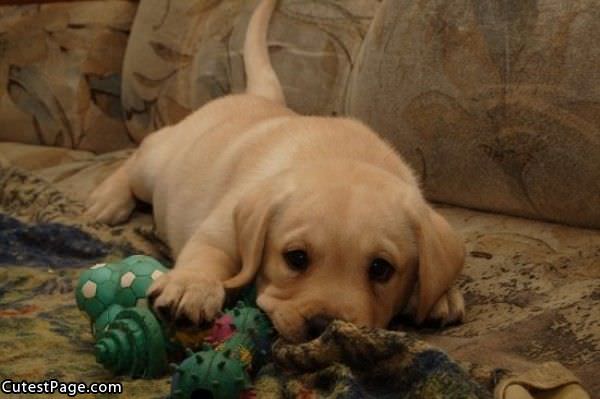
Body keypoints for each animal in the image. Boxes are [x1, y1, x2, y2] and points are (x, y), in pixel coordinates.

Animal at [85, 0, 464, 344]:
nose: (323, 326)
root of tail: (262, 97)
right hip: (157, 164)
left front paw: (441, 296)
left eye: (381, 269)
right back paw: (107, 200)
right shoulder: (221, 229)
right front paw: (191, 285)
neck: (339, 155)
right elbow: (207, 253)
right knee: (137, 157)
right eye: (296, 258)